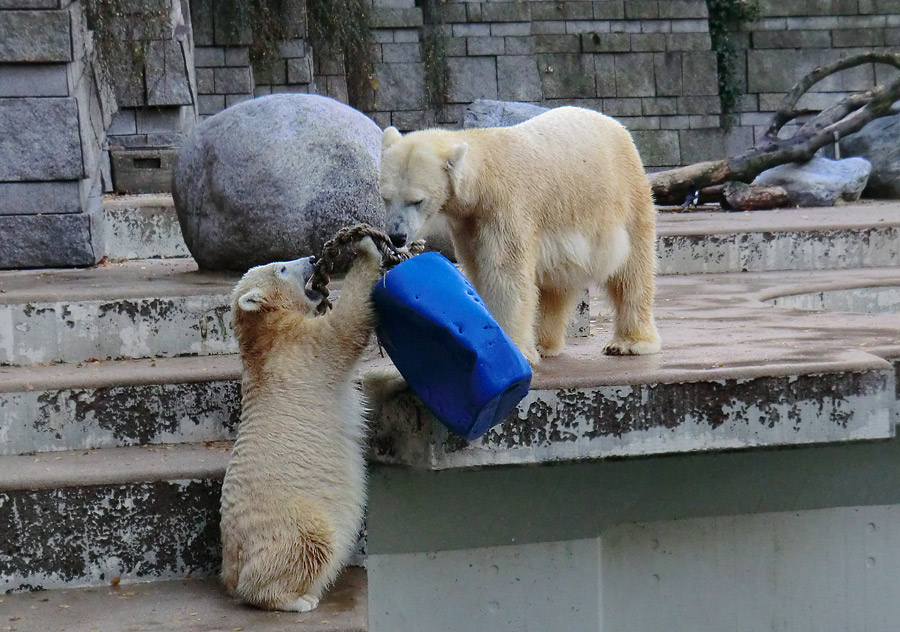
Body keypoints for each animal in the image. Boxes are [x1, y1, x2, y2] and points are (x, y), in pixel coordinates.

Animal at [221, 235, 384, 608]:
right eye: (282, 267)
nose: (311, 258)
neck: (264, 337)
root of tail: (230, 572)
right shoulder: (301, 349)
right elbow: (344, 328)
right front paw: (366, 250)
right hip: (289, 519)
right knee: (309, 541)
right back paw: (297, 599)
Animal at [380, 105, 660, 362]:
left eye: (417, 200)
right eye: (386, 197)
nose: (397, 236)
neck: (484, 176)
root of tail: (614, 124)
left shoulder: (506, 207)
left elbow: (505, 275)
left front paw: (513, 348)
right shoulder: (469, 223)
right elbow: (478, 271)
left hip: (624, 194)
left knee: (631, 270)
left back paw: (629, 342)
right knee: (555, 286)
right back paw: (544, 343)